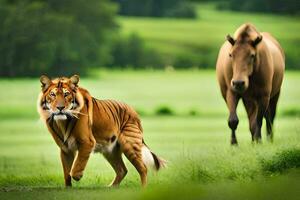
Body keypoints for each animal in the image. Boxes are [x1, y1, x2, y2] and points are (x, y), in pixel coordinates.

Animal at [37, 74, 166, 187]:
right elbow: (66, 173)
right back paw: (110, 187)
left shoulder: (87, 142)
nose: (60, 108)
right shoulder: (65, 148)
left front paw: (78, 176)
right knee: (122, 170)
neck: (62, 122)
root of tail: (134, 110)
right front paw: (68, 189)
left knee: (143, 168)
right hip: (111, 151)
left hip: (130, 145)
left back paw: (143, 189)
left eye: (66, 94)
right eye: (52, 94)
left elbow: (76, 166)